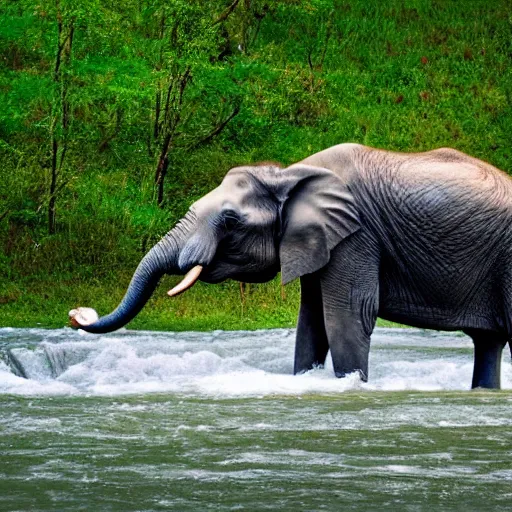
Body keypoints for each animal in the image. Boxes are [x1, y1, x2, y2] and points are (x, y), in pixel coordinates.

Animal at [70, 142, 512, 390]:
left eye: (230, 221)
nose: (77, 312)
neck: (288, 174)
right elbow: (311, 321)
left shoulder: (357, 237)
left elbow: (346, 316)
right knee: (488, 343)